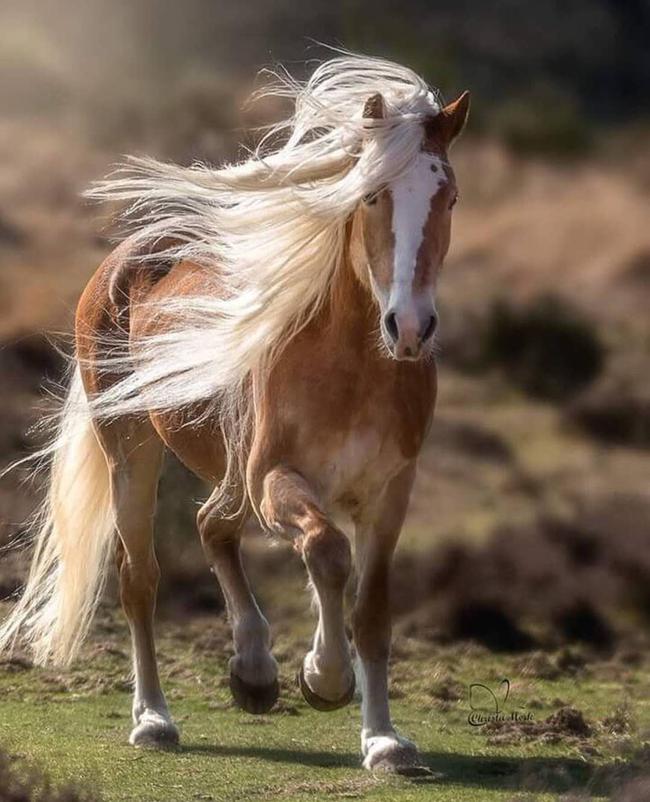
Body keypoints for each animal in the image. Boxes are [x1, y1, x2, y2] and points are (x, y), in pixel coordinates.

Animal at [0, 53, 466, 772]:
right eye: (371, 195)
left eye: (450, 197)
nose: (409, 328)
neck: (351, 369)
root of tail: (127, 254)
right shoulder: (275, 479)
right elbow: (327, 551)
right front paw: (324, 678)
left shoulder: (391, 492)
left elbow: (371, 608)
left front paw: (384, 740)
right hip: (132, 450)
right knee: (140, 578)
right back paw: (155, 719)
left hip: (227, 473)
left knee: (210, 525)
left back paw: (252, 673)